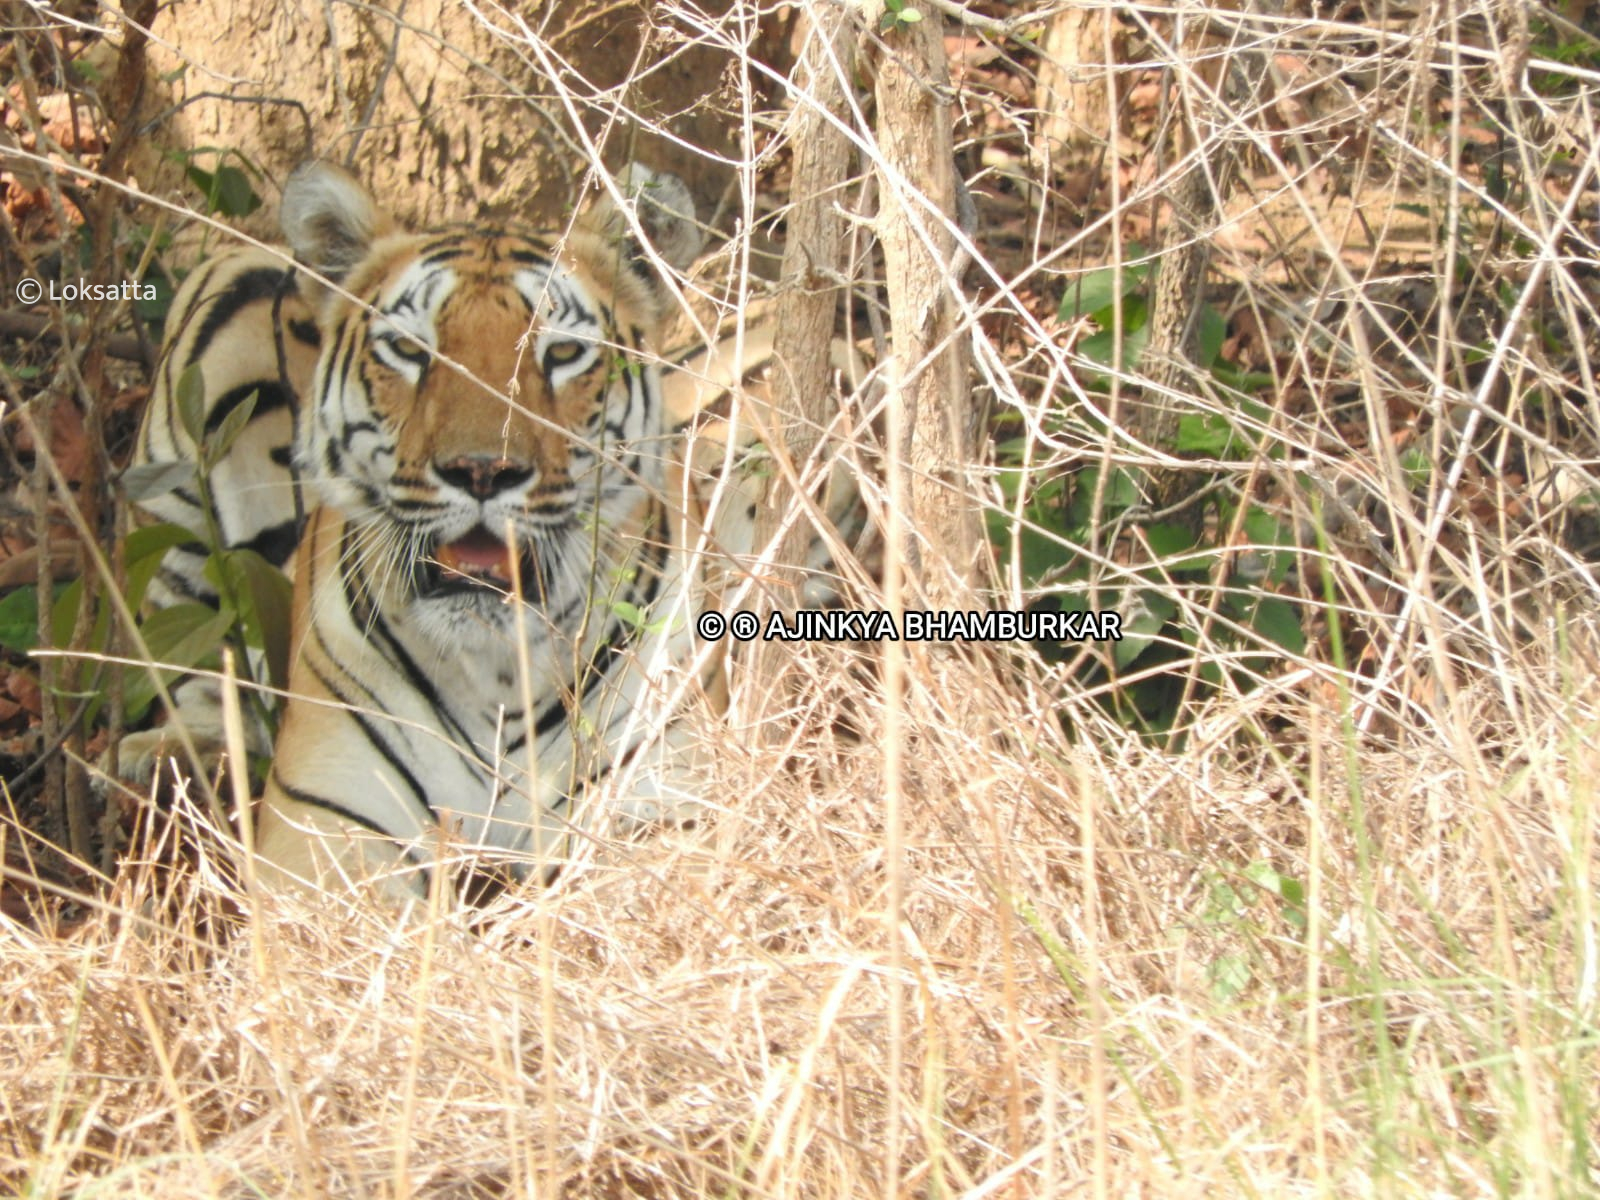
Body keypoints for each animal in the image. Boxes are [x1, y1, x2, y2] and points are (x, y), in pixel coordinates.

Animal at [120, 164, 793, 908]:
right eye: (409, 351)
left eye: (562, 353)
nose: (482, 470)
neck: (497, 675)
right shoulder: (322, 834)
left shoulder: (662, 803)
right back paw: (168, 761)